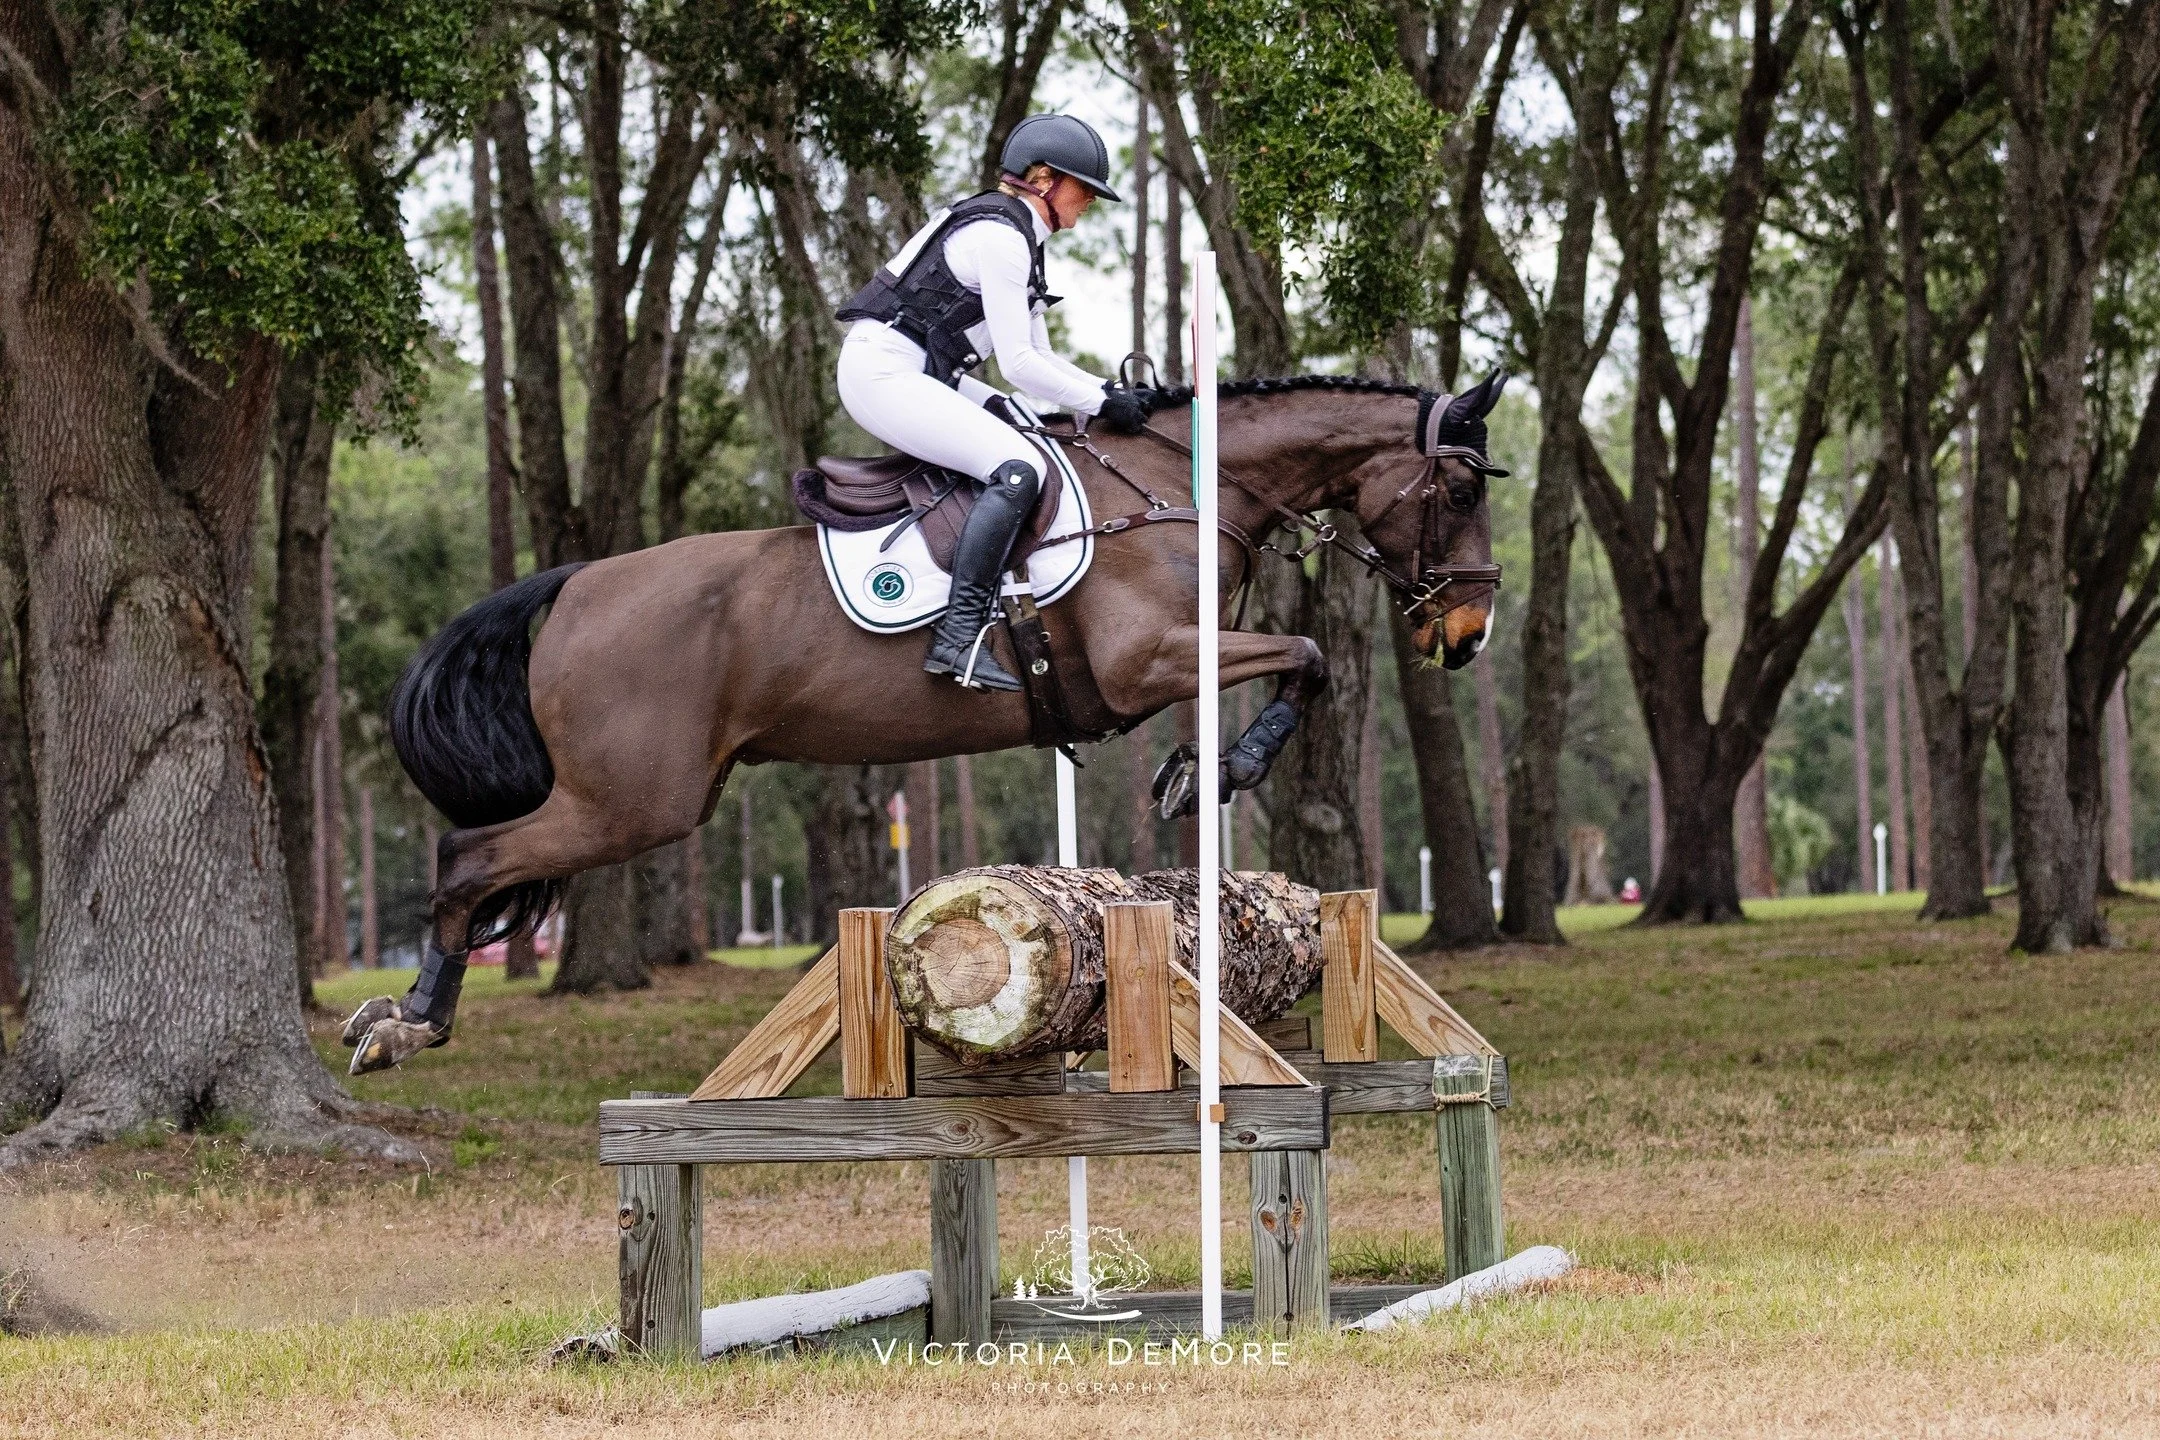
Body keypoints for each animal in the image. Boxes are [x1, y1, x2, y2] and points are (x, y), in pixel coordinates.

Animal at [342, 371, 1509, 1073]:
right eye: (1459, 493)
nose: (1467, 632)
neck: (1179, 486)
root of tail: (576, 584)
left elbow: (1300, 660)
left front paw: (1205, 767)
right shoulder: (1143, 663)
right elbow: (1306, 655)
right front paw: (1209, 772)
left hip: (653, 796)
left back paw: (402, 1015)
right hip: (631, 803)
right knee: (465, 854)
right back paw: (407, 1022)